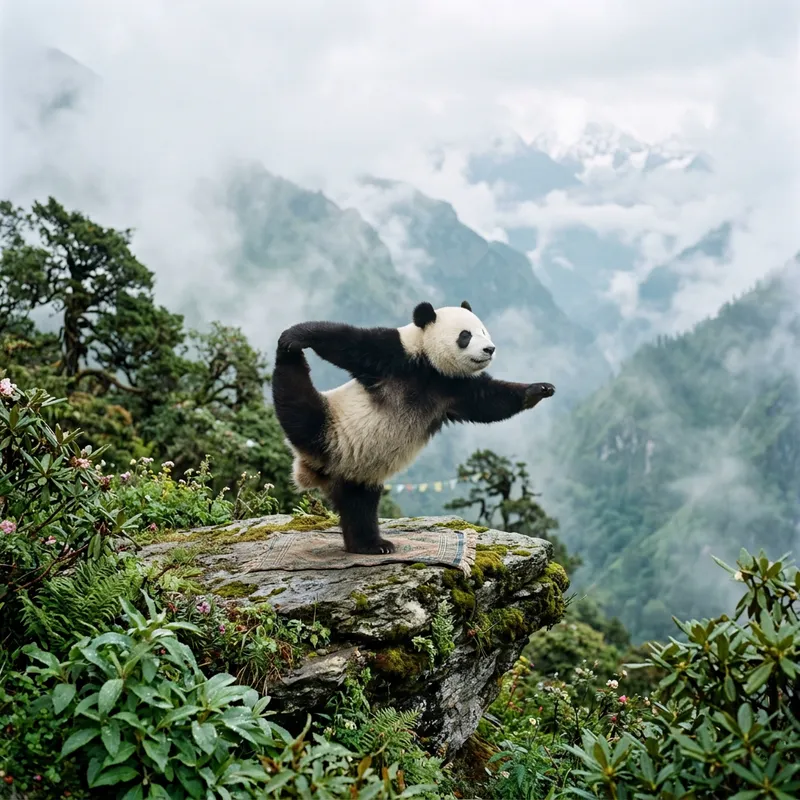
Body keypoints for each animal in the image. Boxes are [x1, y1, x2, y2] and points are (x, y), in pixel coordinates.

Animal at [271, 300, 555, 555]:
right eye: (466, 335)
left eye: (484, 331)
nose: (489, 349)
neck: (429, 365)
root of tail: (314, 469)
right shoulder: (395, 355)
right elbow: (348, 343)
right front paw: (296, 335)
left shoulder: (455, 387)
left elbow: (490, 401)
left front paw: (538, 390)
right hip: (326, 423)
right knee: (296, 397)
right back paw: (288, 353)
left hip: (357, 473)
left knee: (359, 506)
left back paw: (371, 545)